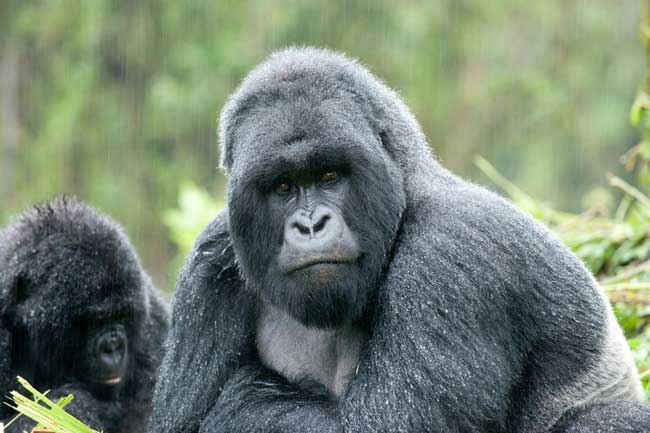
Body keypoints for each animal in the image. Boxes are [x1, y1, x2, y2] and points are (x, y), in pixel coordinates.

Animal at [147, 47, 648, 432]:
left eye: (330, 176)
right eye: (283, 187)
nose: (310, 226)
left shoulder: (450, 256)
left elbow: (375, 424)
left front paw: (242, 396)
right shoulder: (211, 262)